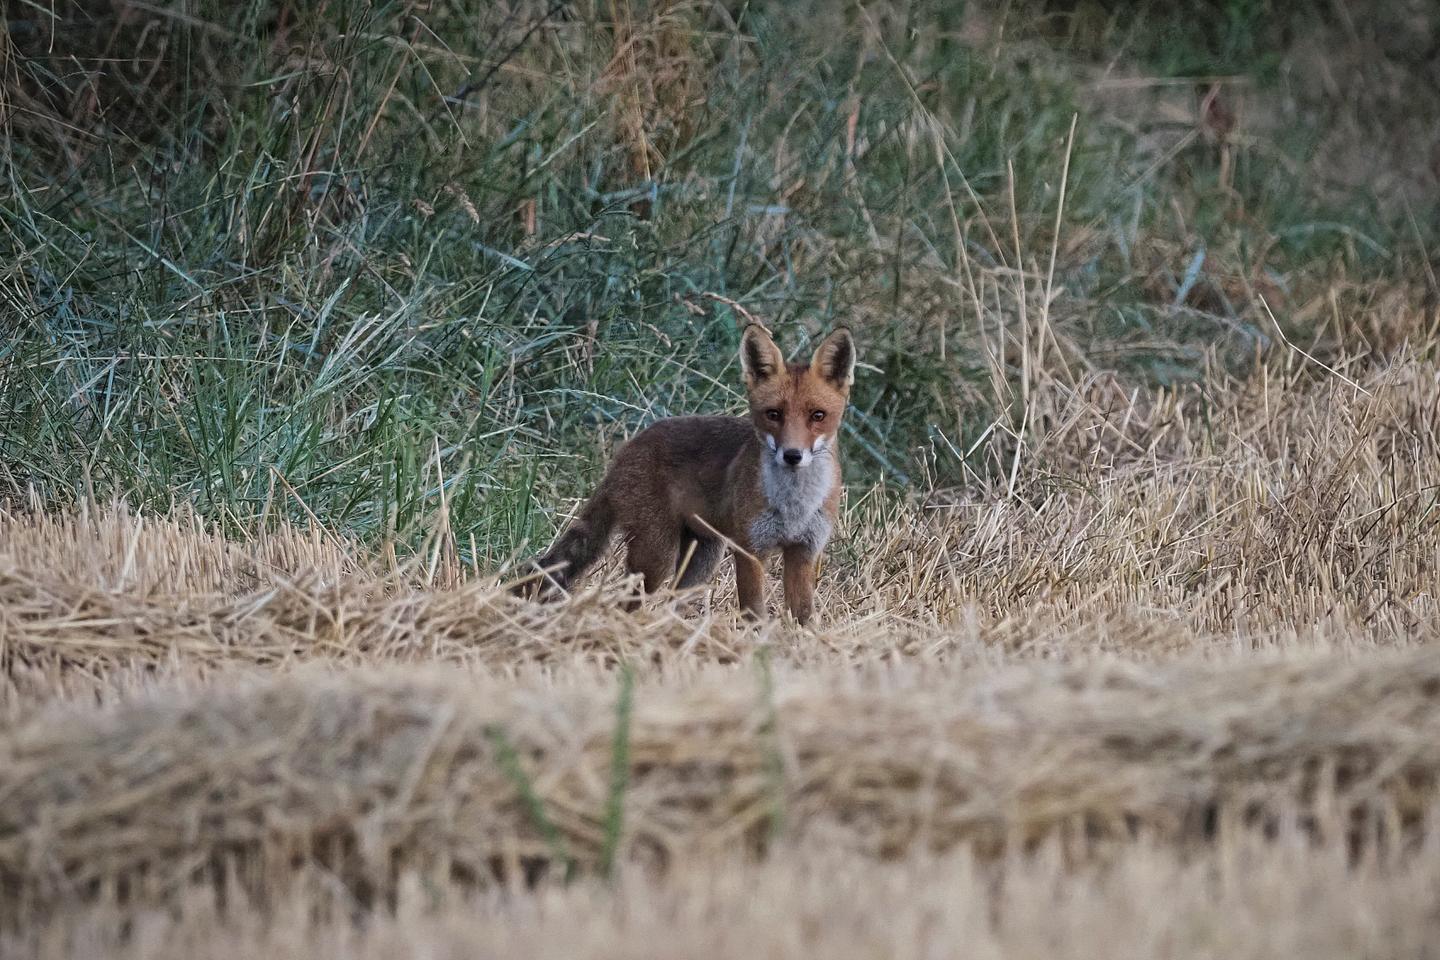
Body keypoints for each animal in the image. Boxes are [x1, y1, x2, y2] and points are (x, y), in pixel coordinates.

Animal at [516, 323, 856, 625]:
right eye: (773, 414)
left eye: (818, 416)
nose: (792, 455)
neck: (794, 506)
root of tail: (632, 444)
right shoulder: (750, 550)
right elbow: (754, 614)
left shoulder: (804, 551)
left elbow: (803, 616)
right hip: (657, 557)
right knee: (627, 602)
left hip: (702, 558)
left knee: (672, 602)